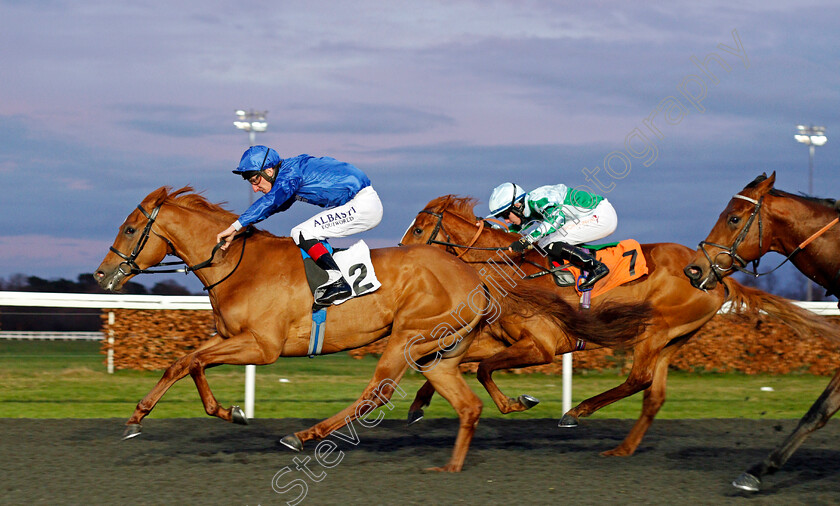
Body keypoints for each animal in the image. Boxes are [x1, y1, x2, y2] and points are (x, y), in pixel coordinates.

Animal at [93, 185, 648, 470]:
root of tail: (475, 277)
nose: (101, 275)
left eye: (129, 227)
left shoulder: (262, 346)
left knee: (377, 392)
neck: (239, 264)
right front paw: (226, 411)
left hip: (406, 338)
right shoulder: (232, 338)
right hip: (438, 350)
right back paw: (454, 460)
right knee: (465, 399)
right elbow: (185, 362)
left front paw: (139, 417)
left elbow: (188, 360)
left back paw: (305, 435)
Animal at [398, 195, 832, 458]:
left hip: (654, 329)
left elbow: (483, 369)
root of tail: (713, 275)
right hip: (675, 339)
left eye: (419, 229)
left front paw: (518, 403)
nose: (401, 256)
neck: (509, 271)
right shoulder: (500, 339)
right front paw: (418, 406)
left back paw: (577, 411)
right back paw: (623, 448)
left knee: (639, 378)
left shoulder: (543, 345)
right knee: (653, 394)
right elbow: (450, 360)